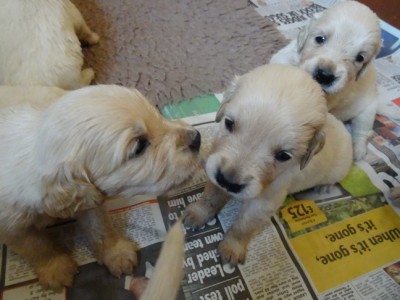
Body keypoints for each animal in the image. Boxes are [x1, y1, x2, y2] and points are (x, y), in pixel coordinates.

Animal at [0, 85, 200, 290]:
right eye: (139, 146)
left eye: (157, 113)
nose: (197, 137)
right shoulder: (11, 226)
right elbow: (36, 245)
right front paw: (55, 268)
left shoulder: (91, 199)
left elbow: (100, 227)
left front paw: (117, 254)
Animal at [183, 63, 352, 264]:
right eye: (229, 123)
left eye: (283, 155)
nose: (228, 182)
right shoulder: (214, 165)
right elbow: (210, 196)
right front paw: (198, 213)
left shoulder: (264, 201)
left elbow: (244, 225)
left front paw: (233, 247)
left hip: (339, 169)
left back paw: (323, 187)